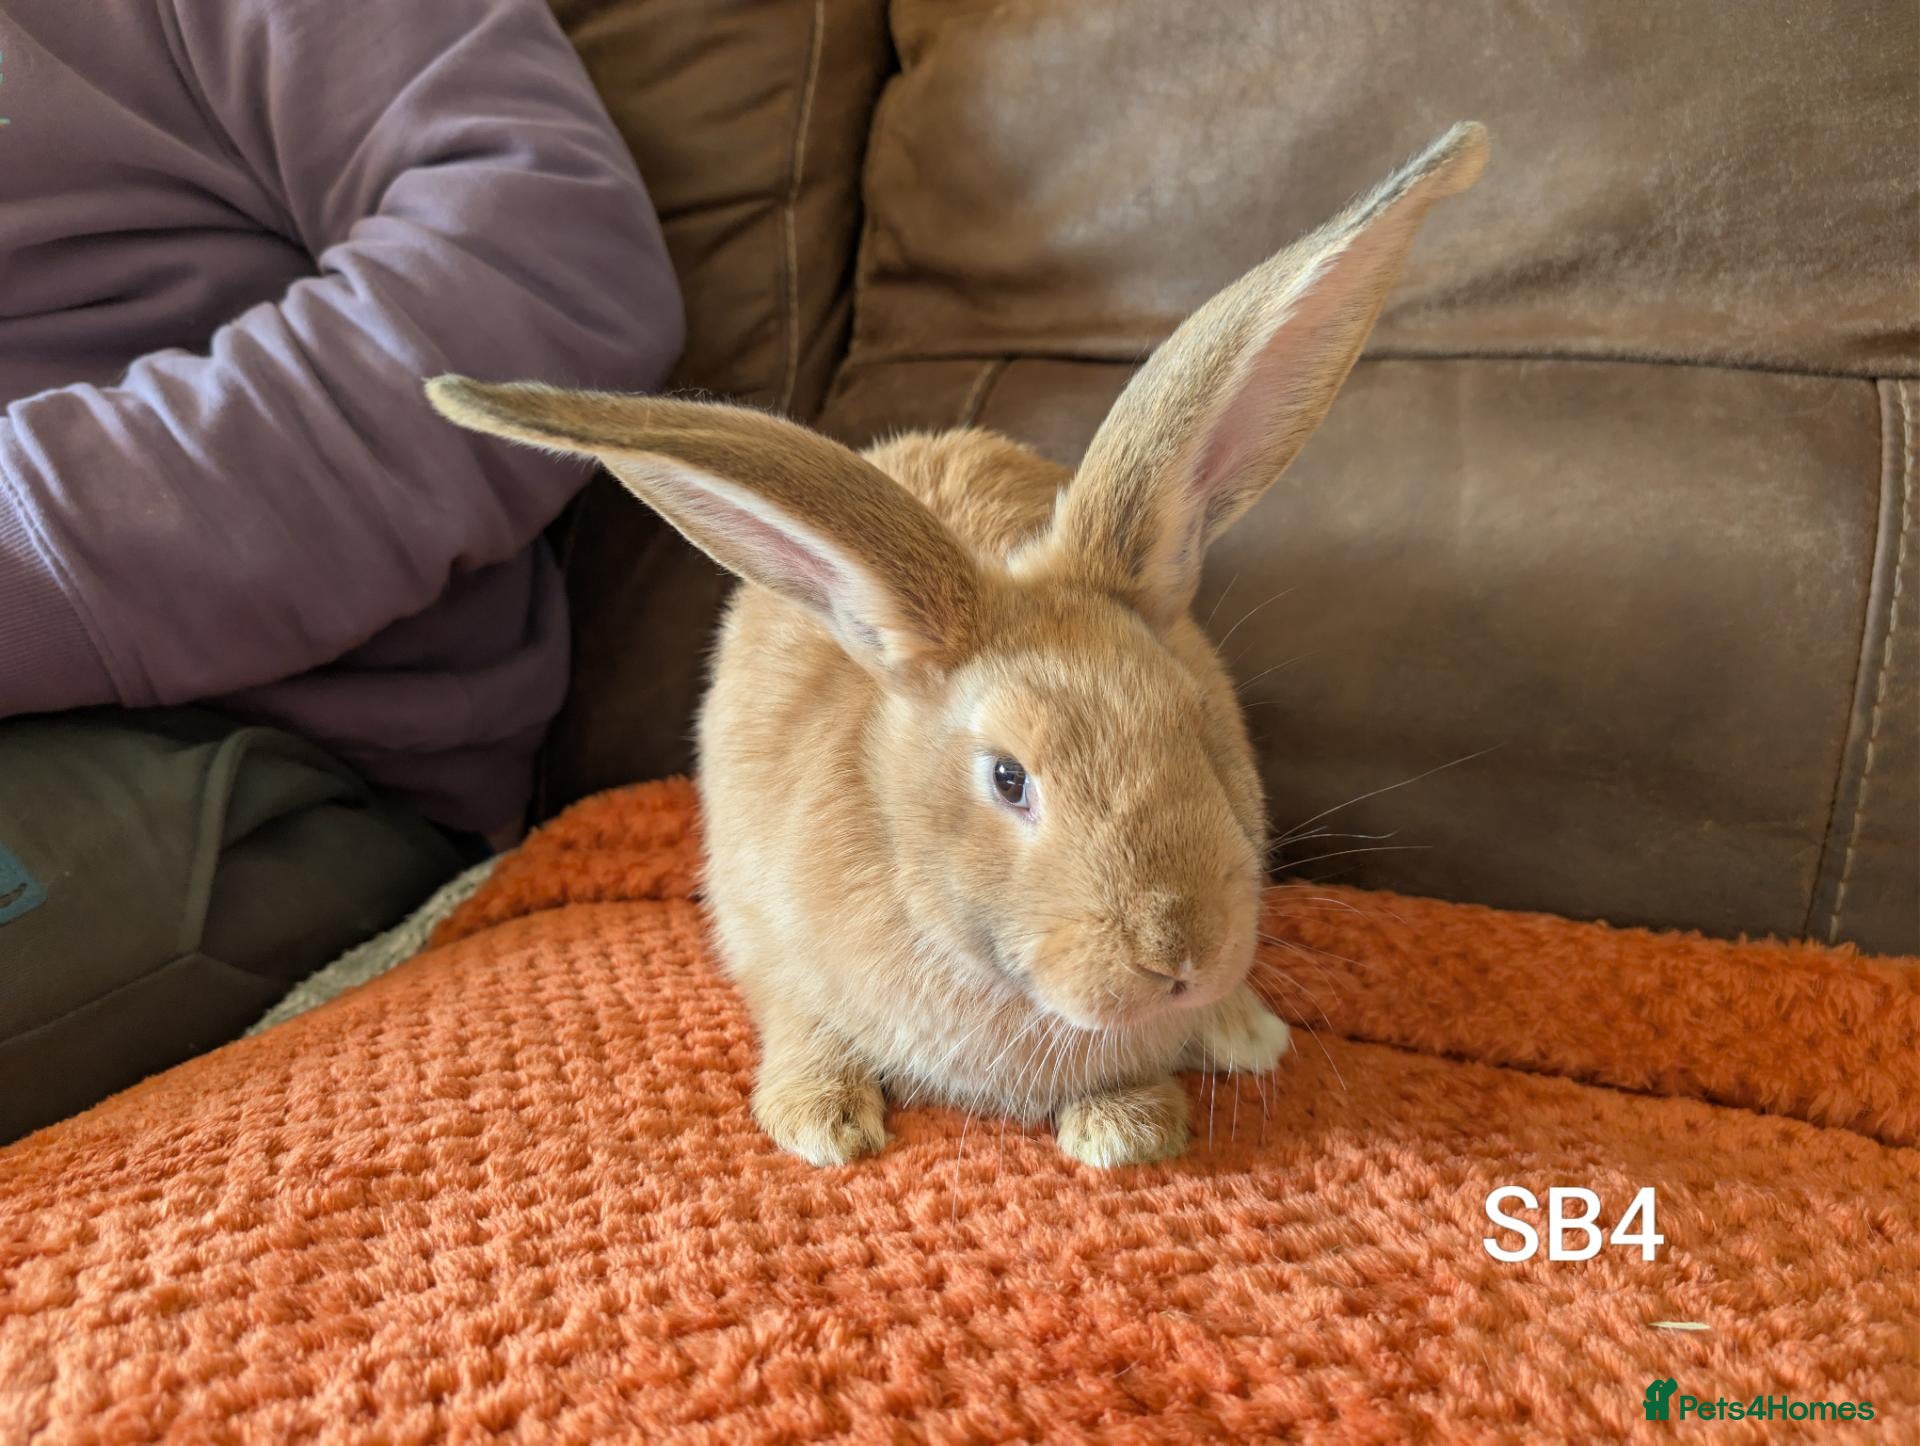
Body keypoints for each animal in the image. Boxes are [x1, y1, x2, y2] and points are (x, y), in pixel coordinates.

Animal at [427, 122, 1487, 1169]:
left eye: (1197, 724)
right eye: (1008, 780)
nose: (1177, 958)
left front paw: (1130, 1122)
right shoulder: (763, 935)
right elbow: (798, 1019)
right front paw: (822, 1123)